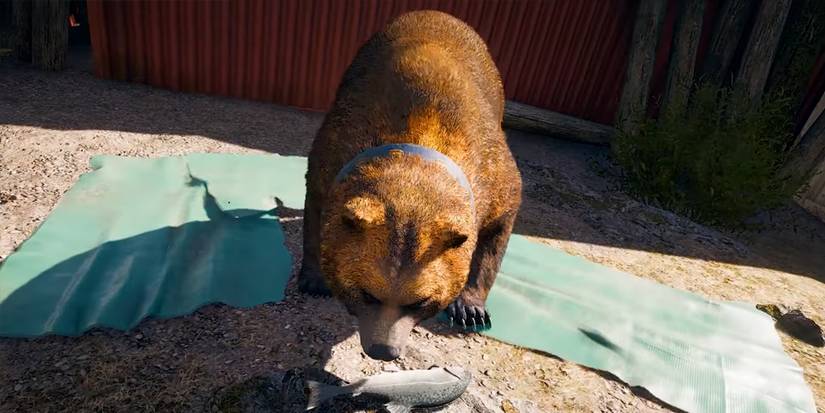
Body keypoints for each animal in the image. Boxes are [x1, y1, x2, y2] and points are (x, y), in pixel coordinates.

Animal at [298, 10, 522, 361]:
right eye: (367, 293)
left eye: (419, 302)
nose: (384, 350)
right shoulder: (336, 147)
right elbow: (316, 205)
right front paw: (313, 277)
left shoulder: (494, 172)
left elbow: (498, 230)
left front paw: (470, 308)